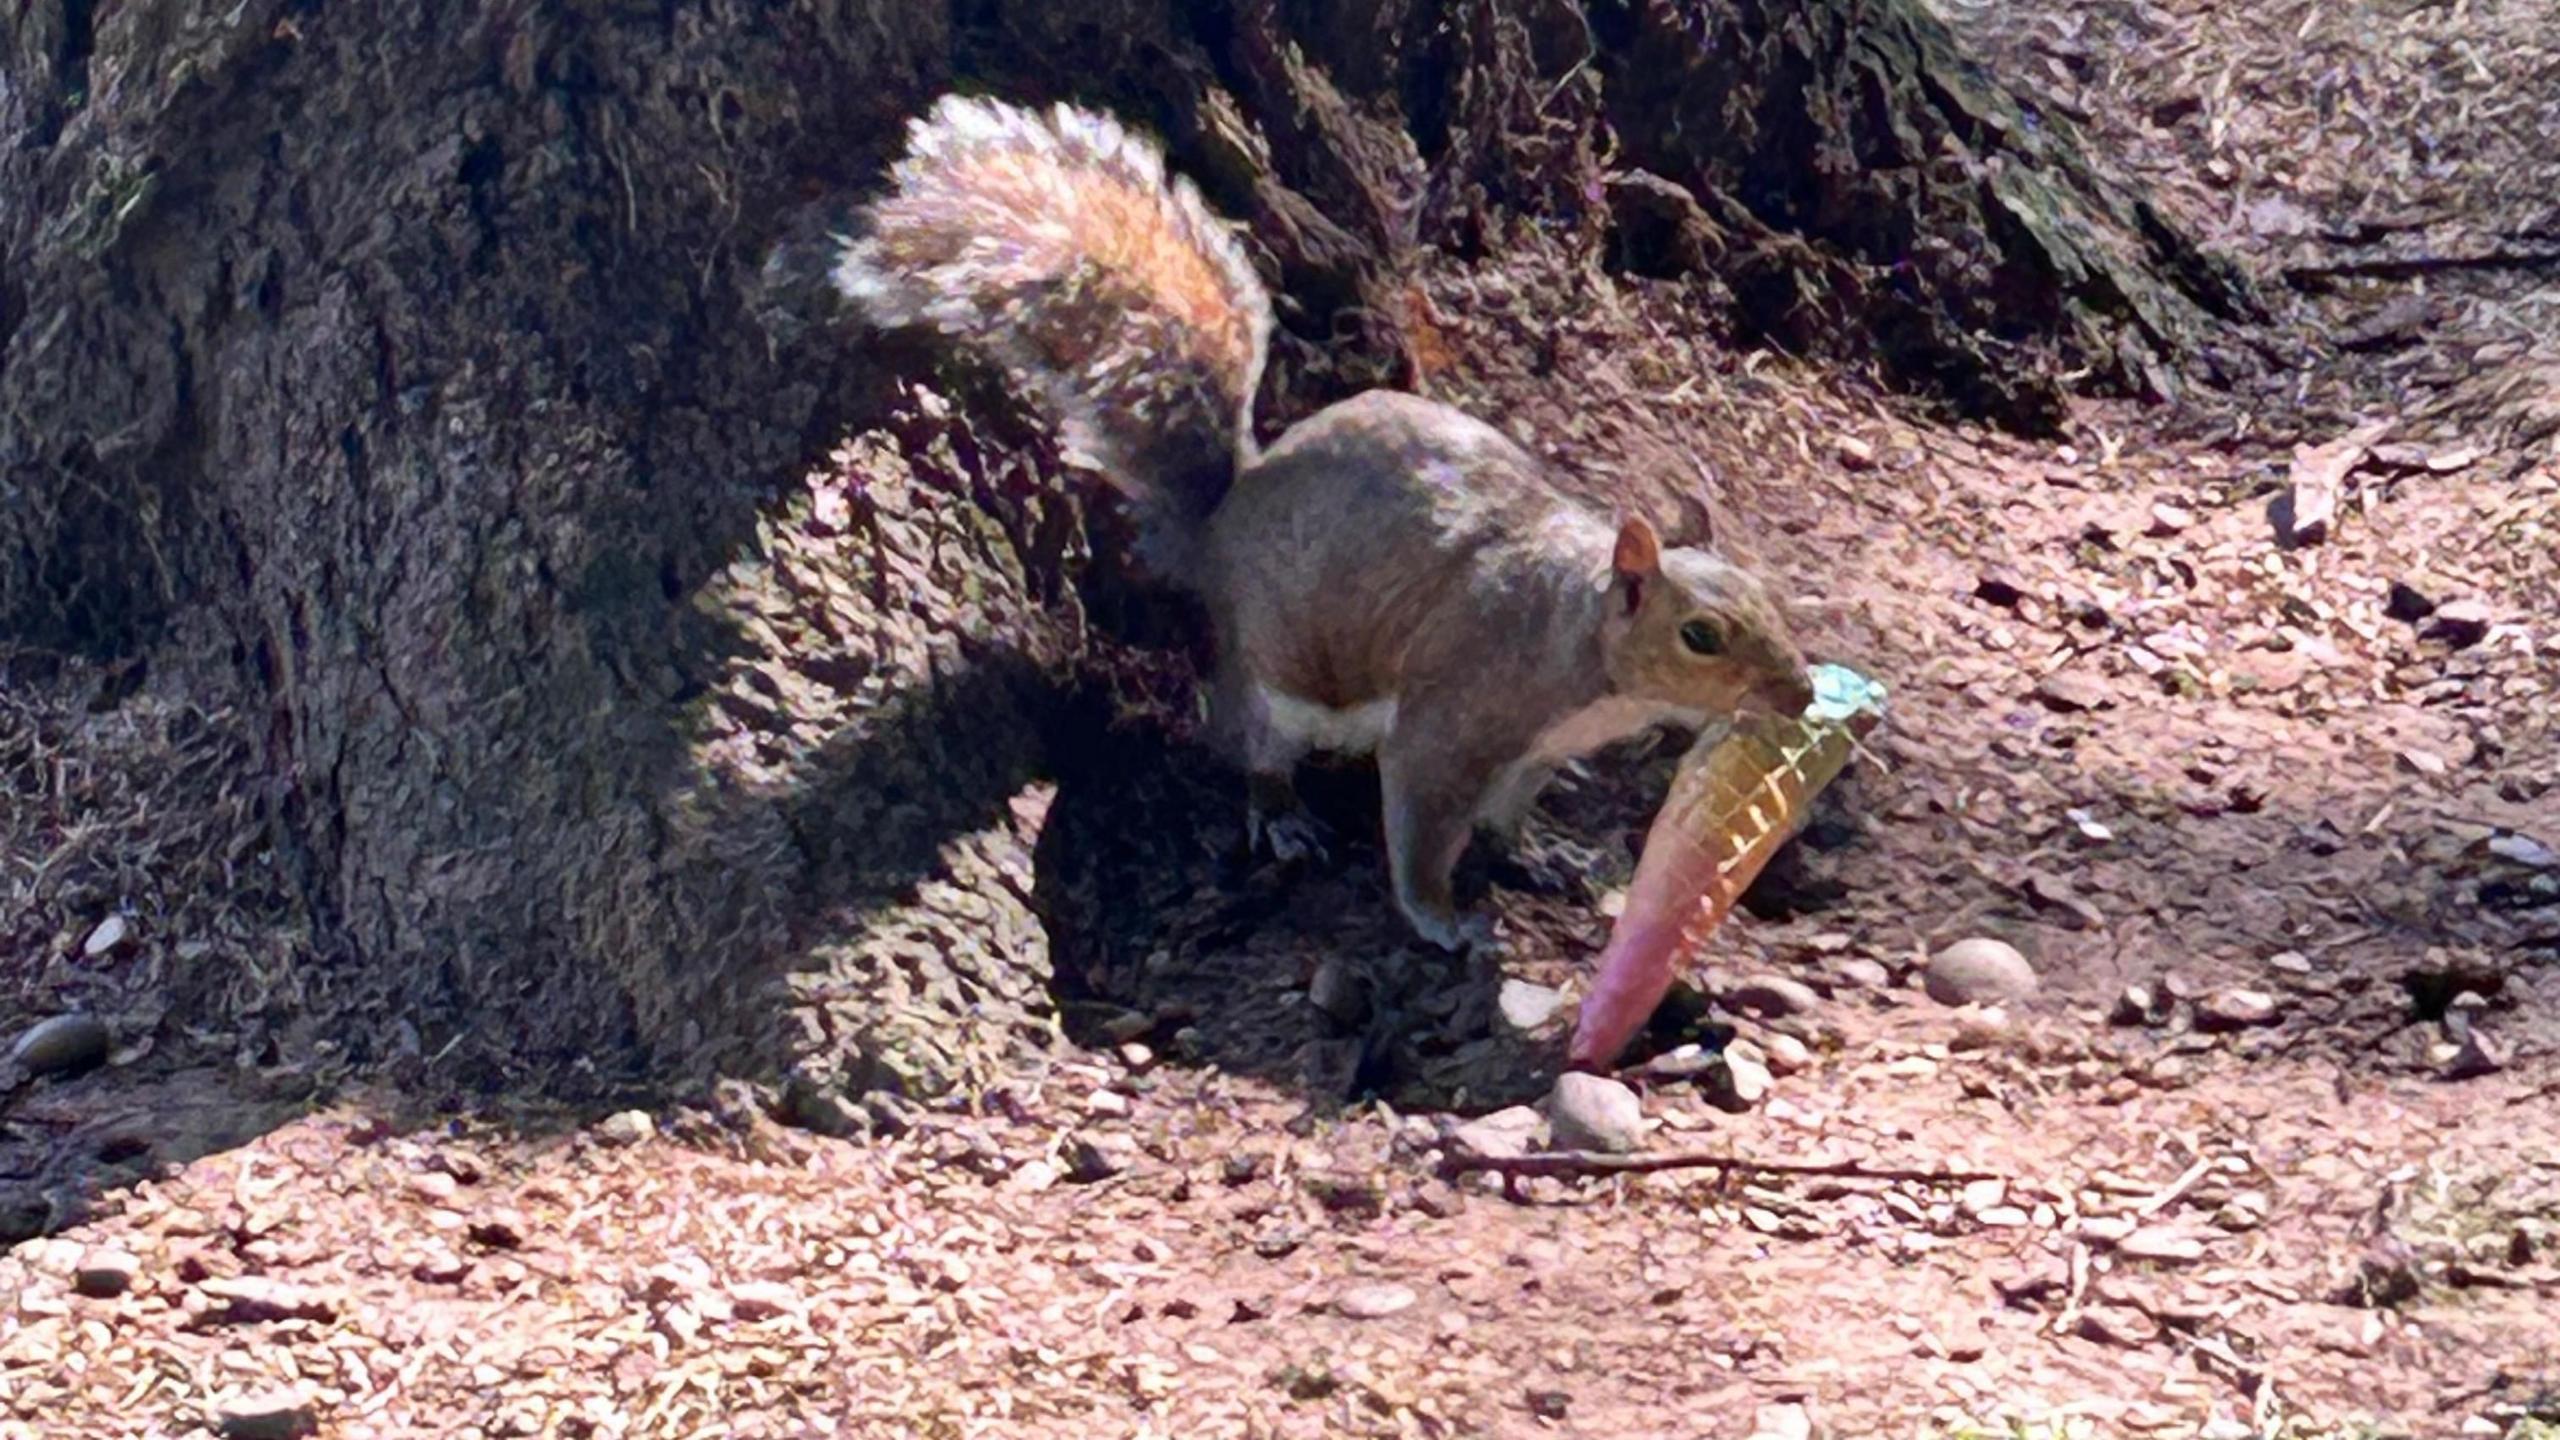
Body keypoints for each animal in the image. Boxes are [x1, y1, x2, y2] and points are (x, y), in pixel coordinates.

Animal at [829, 95, 1812, 948]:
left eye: (1774, 600)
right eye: (1700, 634)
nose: (1801, 697)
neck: (1578, 639)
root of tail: (1222, 524)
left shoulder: (1532, 753)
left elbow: (1506, 818)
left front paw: (1542, 854)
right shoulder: (1456, 715)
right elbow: (1420, 824)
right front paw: (1440, 919)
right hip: (1273, 682)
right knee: (1244, 746)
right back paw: (1283, 816)